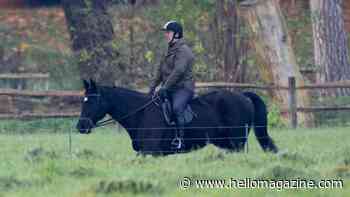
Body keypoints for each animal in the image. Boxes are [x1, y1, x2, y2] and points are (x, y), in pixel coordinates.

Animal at [76, 80, 278, 155]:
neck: (140, 114)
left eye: (92, 101)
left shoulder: (151, 153)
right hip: (227, 144)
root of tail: (243, 96)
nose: (81, 127)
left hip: (237, 142)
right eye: (83, 100)